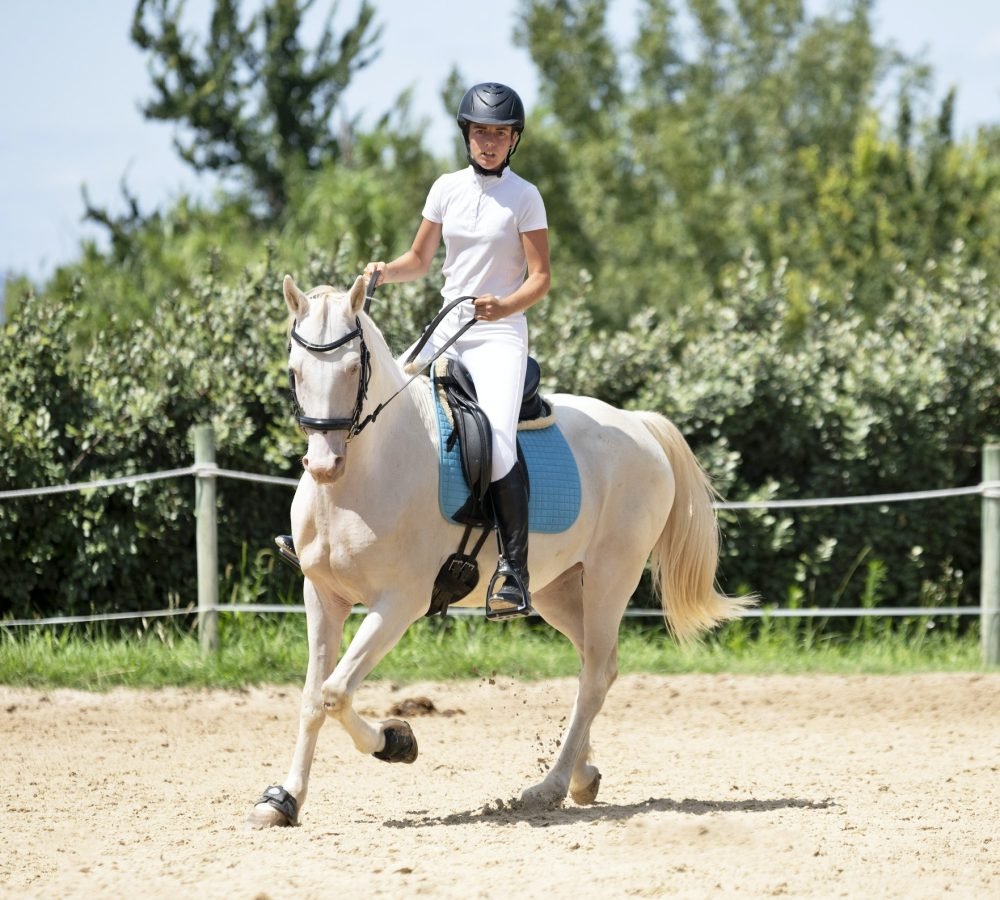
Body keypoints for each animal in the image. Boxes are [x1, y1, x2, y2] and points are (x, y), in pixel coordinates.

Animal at [247, 274, 754, 828]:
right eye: (296, 372)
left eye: (355, 369)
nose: (324, 466)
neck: (366, 475)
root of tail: (640, 425)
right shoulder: (322, 596)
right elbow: (312, 698)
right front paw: (283, 799)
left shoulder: (398, 604)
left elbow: (336, 693)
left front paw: (398, 741)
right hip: (557, 588)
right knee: (596, 663)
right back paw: (583, 774)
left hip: (611, 575)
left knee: (596, 672)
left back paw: (550, 786)